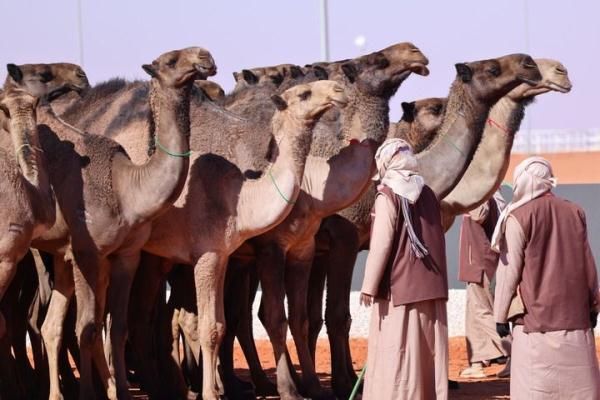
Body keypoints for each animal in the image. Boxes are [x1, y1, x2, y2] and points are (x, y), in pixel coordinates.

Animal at [5, 47, 217, 400]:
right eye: (171, 60)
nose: (205, 57)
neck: (126, 187)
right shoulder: (86, 253)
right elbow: (88, 328)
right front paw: (91, 393)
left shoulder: (126, 255)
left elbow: (117, 327)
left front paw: (119, 391)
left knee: (49, 325)